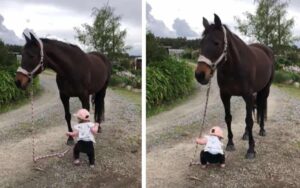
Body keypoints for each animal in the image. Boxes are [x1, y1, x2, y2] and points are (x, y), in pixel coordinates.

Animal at [195, 14, 274, 159]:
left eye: (216, 42)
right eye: (201, 43)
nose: (200, 75)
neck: (234, 67)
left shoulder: (248, 95)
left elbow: (249, 120)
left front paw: (251, 149)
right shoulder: (225, 95)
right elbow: (228, 118)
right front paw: (230, 143)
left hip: (265, 90)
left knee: (261, 107)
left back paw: (262, 130)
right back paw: (246, 134)